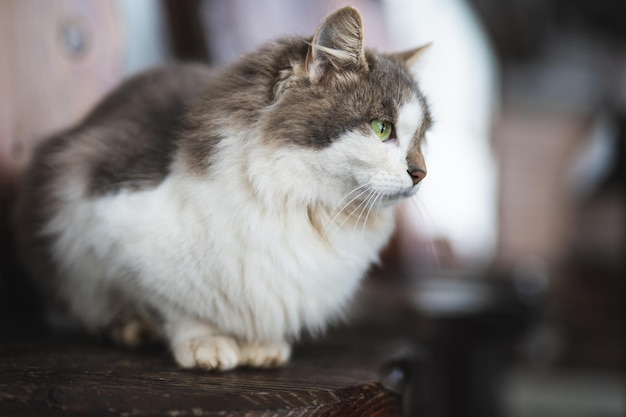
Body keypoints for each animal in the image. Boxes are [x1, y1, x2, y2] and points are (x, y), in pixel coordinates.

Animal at [12, 5, 428, 370]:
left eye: (422, 137)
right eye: (382, 129)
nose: (421, 173)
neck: (300, 204)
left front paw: (260, 347)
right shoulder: (108, 219)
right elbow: (179, 304)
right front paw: (205, 344)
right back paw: (133, 328)